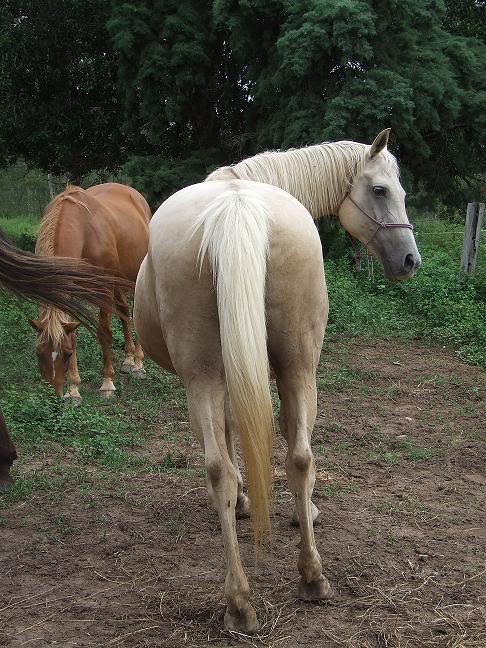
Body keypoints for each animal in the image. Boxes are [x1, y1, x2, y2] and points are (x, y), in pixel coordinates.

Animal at [29, 182, 151, 402]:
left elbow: (104, 332)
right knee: (123, 312)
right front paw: (74, 390)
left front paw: (107, 383)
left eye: (66, 354)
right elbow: (73, 334)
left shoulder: (104, 289)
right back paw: (129, 360)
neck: (83, 231)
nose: (55, 395)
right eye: (39, 353)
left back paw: (138, 364)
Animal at [134, 130, 422, 632]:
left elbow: (237, 436)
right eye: (381, 190)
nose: (409, 260)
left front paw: (253, 501)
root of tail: (235, 208)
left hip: (213, 375)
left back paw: (249, 598)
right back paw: (300, 581)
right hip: (292, 367)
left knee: (231, 465)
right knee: (294, 457)